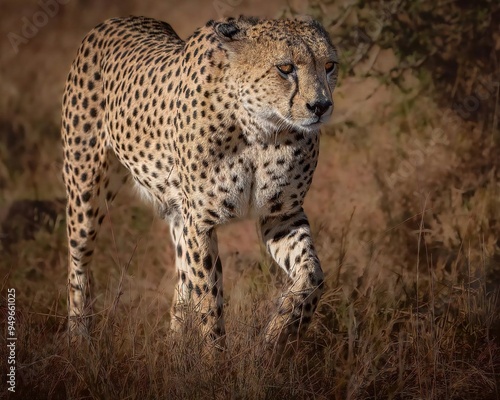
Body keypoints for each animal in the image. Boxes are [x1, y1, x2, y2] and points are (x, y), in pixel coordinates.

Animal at [60, 14, 338, 350]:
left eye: (329, 65)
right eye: (285, 68)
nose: (320, 106)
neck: (261, 130)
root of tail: (116, 19)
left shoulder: (281, 214)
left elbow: (312, 276)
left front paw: (279, 333)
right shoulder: (201, 223)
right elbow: (209, 298)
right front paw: (214, 358)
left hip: (178, 215)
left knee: (181, 280)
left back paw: (175, 349)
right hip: (85, 190)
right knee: (78, 266)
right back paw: (78, 338)